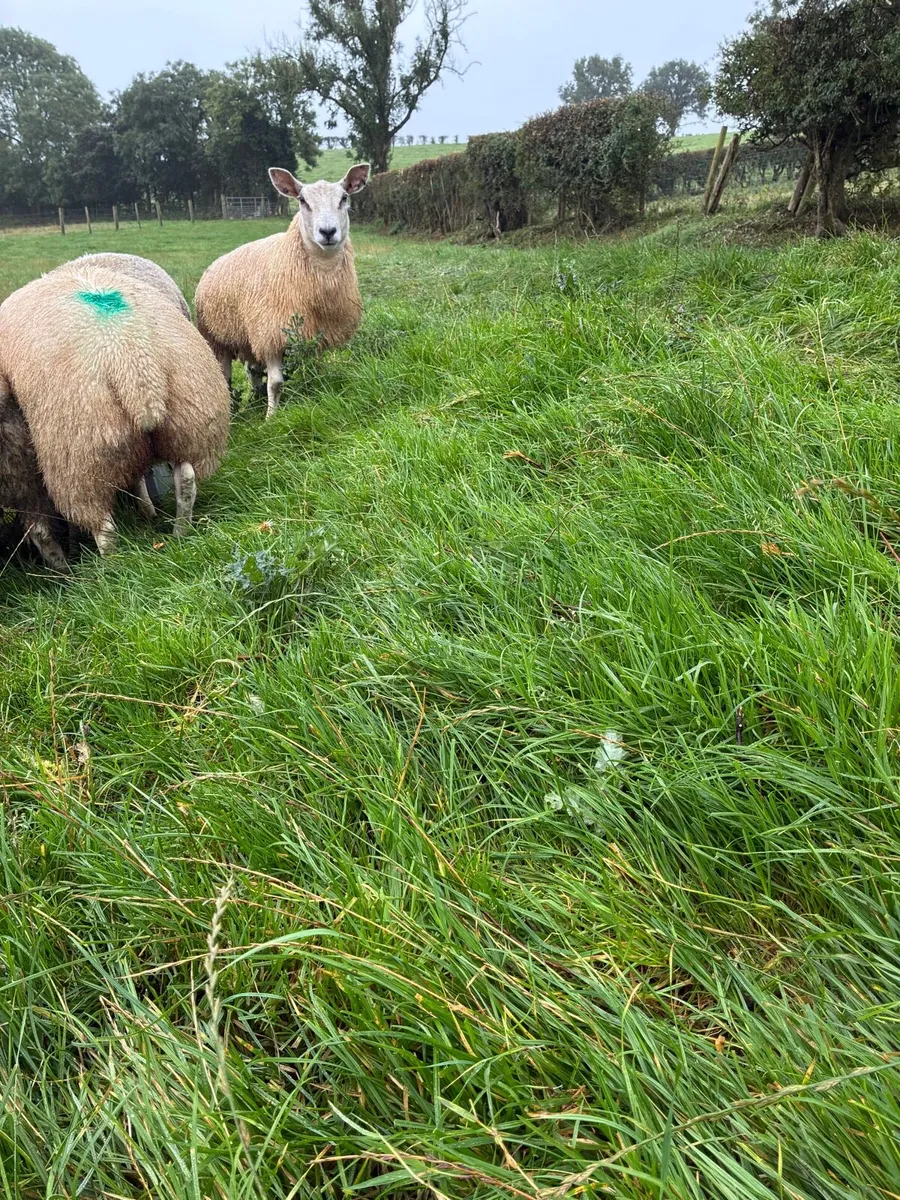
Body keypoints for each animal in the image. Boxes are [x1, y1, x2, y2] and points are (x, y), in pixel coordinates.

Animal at [0, 260, 230, 555]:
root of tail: (134, 363)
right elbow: (138, 476)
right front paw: (146, 511)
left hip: (83, 455)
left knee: (102, 525)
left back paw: (109, 562)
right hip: (189, 422)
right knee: (186, 479)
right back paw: (180, 532)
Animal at [195, 162, 370, 419]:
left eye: (344, 198)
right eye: (302, 201)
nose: (328, 232)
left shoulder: (317, 333)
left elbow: (316, 370)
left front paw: (319, 393)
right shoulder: (271, 334)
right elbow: (276, 383)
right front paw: (271, 418)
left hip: (248, 337)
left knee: (252, 370)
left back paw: (256, 397)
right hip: (219, 339)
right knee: (227, 377)